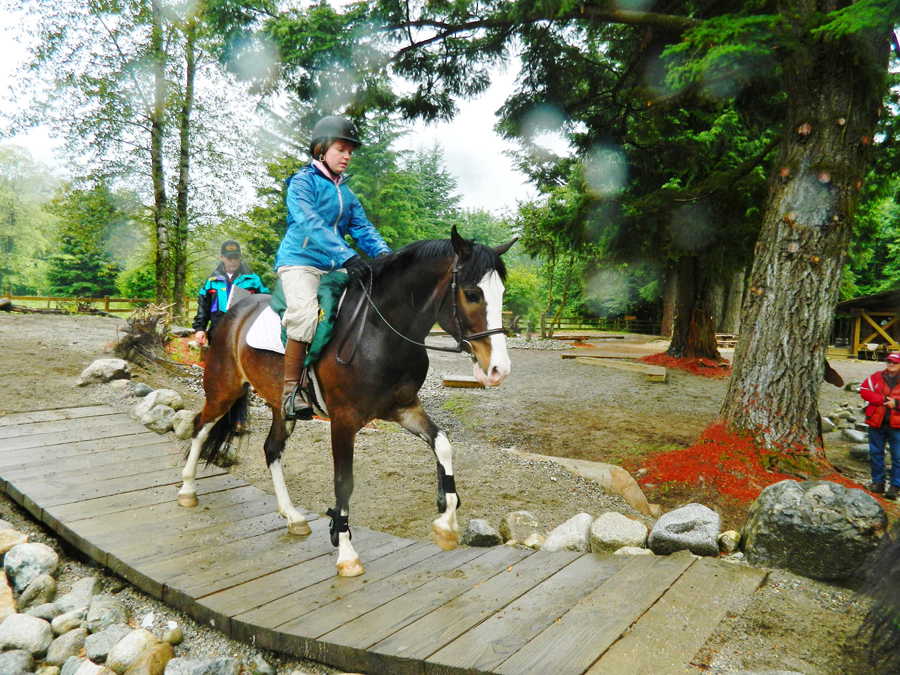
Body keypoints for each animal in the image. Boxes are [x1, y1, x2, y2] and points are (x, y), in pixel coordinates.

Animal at [179, 227, 516, 576]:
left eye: (501, 292)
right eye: (472, 294)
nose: (499, 370)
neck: (380, 332)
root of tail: (235, 310)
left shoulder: (405, 408)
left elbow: (444, 444)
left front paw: (446, 522)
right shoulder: (343, 421)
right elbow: (344, 482)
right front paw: (346, 552)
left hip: (280, 408)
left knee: (271, 449)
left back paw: (292, 516)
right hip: (224, 389)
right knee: (200, 426)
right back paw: (187, 489)